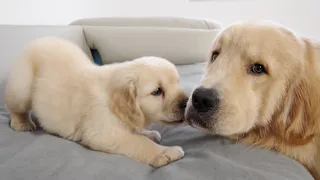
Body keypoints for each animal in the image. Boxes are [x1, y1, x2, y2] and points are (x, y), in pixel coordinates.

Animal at [5, 36, 188, 167]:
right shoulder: (103, 134)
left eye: (177, 83)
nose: (187, 102)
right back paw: (22, 123)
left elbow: (135, 130)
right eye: (157, 91)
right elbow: (138, 142)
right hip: (21, 88)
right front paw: (164, 152)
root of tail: (38, 40)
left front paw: (147, 133)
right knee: (15, 108)